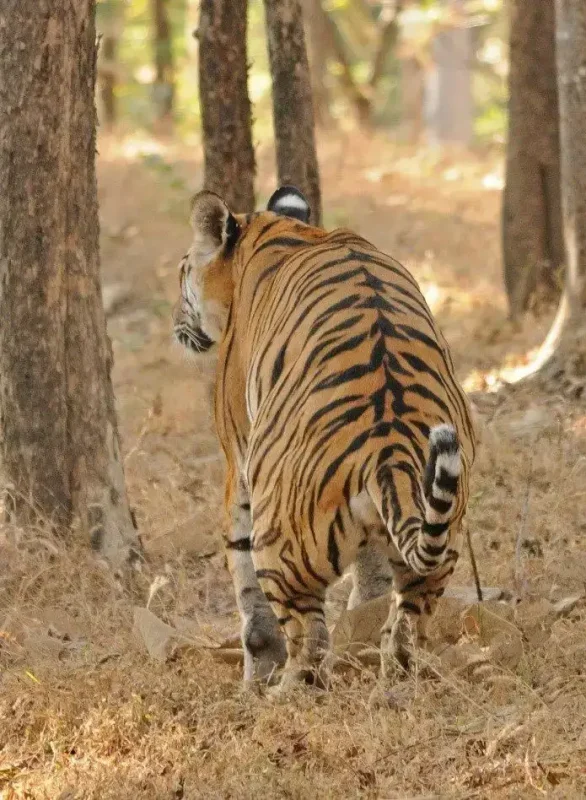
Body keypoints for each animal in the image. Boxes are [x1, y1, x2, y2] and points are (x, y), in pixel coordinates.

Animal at [173, 185, 476, 692]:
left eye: (182, 272)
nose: (176, 325)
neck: (279, 229)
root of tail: (390, 449)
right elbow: (371, 574)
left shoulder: (238, 455)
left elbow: (243, 577)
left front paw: (256, 672)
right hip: (440, 547)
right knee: (407, 623)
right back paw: (396, 680)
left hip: (280, 546)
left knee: (310, 642)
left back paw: (285, 692)